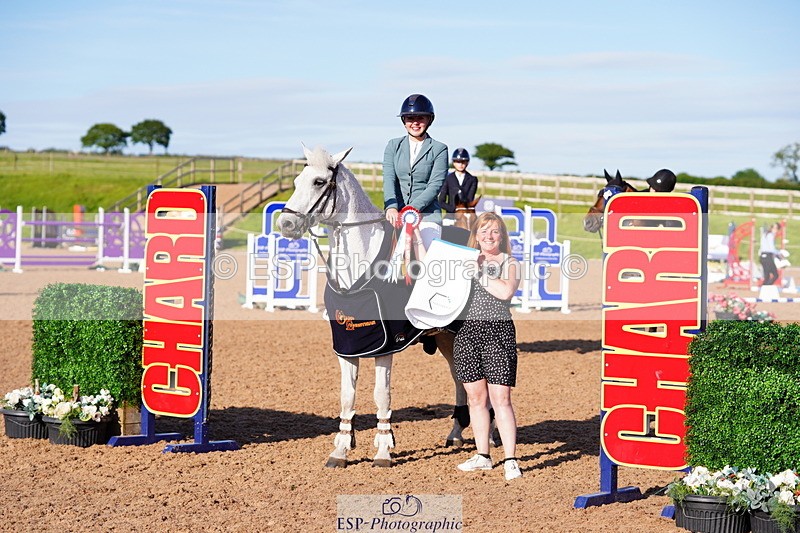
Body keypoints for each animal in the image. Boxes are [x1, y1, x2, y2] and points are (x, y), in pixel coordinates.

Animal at [276, 145, 478, 468]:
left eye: (319, 182)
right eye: (296, 182)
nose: (286, 225)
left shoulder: (385, 346)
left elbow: (381, 395)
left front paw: (384, 450)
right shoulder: (347, 345)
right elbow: (347, 396)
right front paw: (340, 450)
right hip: (445, 337)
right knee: (459, 377)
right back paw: (457, 432)